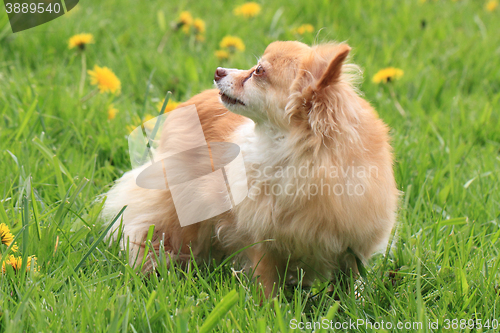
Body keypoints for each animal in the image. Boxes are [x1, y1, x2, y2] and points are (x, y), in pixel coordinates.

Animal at [102, 40, 398, 296]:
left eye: (258, 72)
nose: (218, 70)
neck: (301, 153)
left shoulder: (353, 246)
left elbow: (350, 282)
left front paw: (350, 305)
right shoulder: (263, 241)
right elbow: (265, 281)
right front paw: (268, 310)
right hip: (180, 208)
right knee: (154, 233)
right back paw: (153, 273)